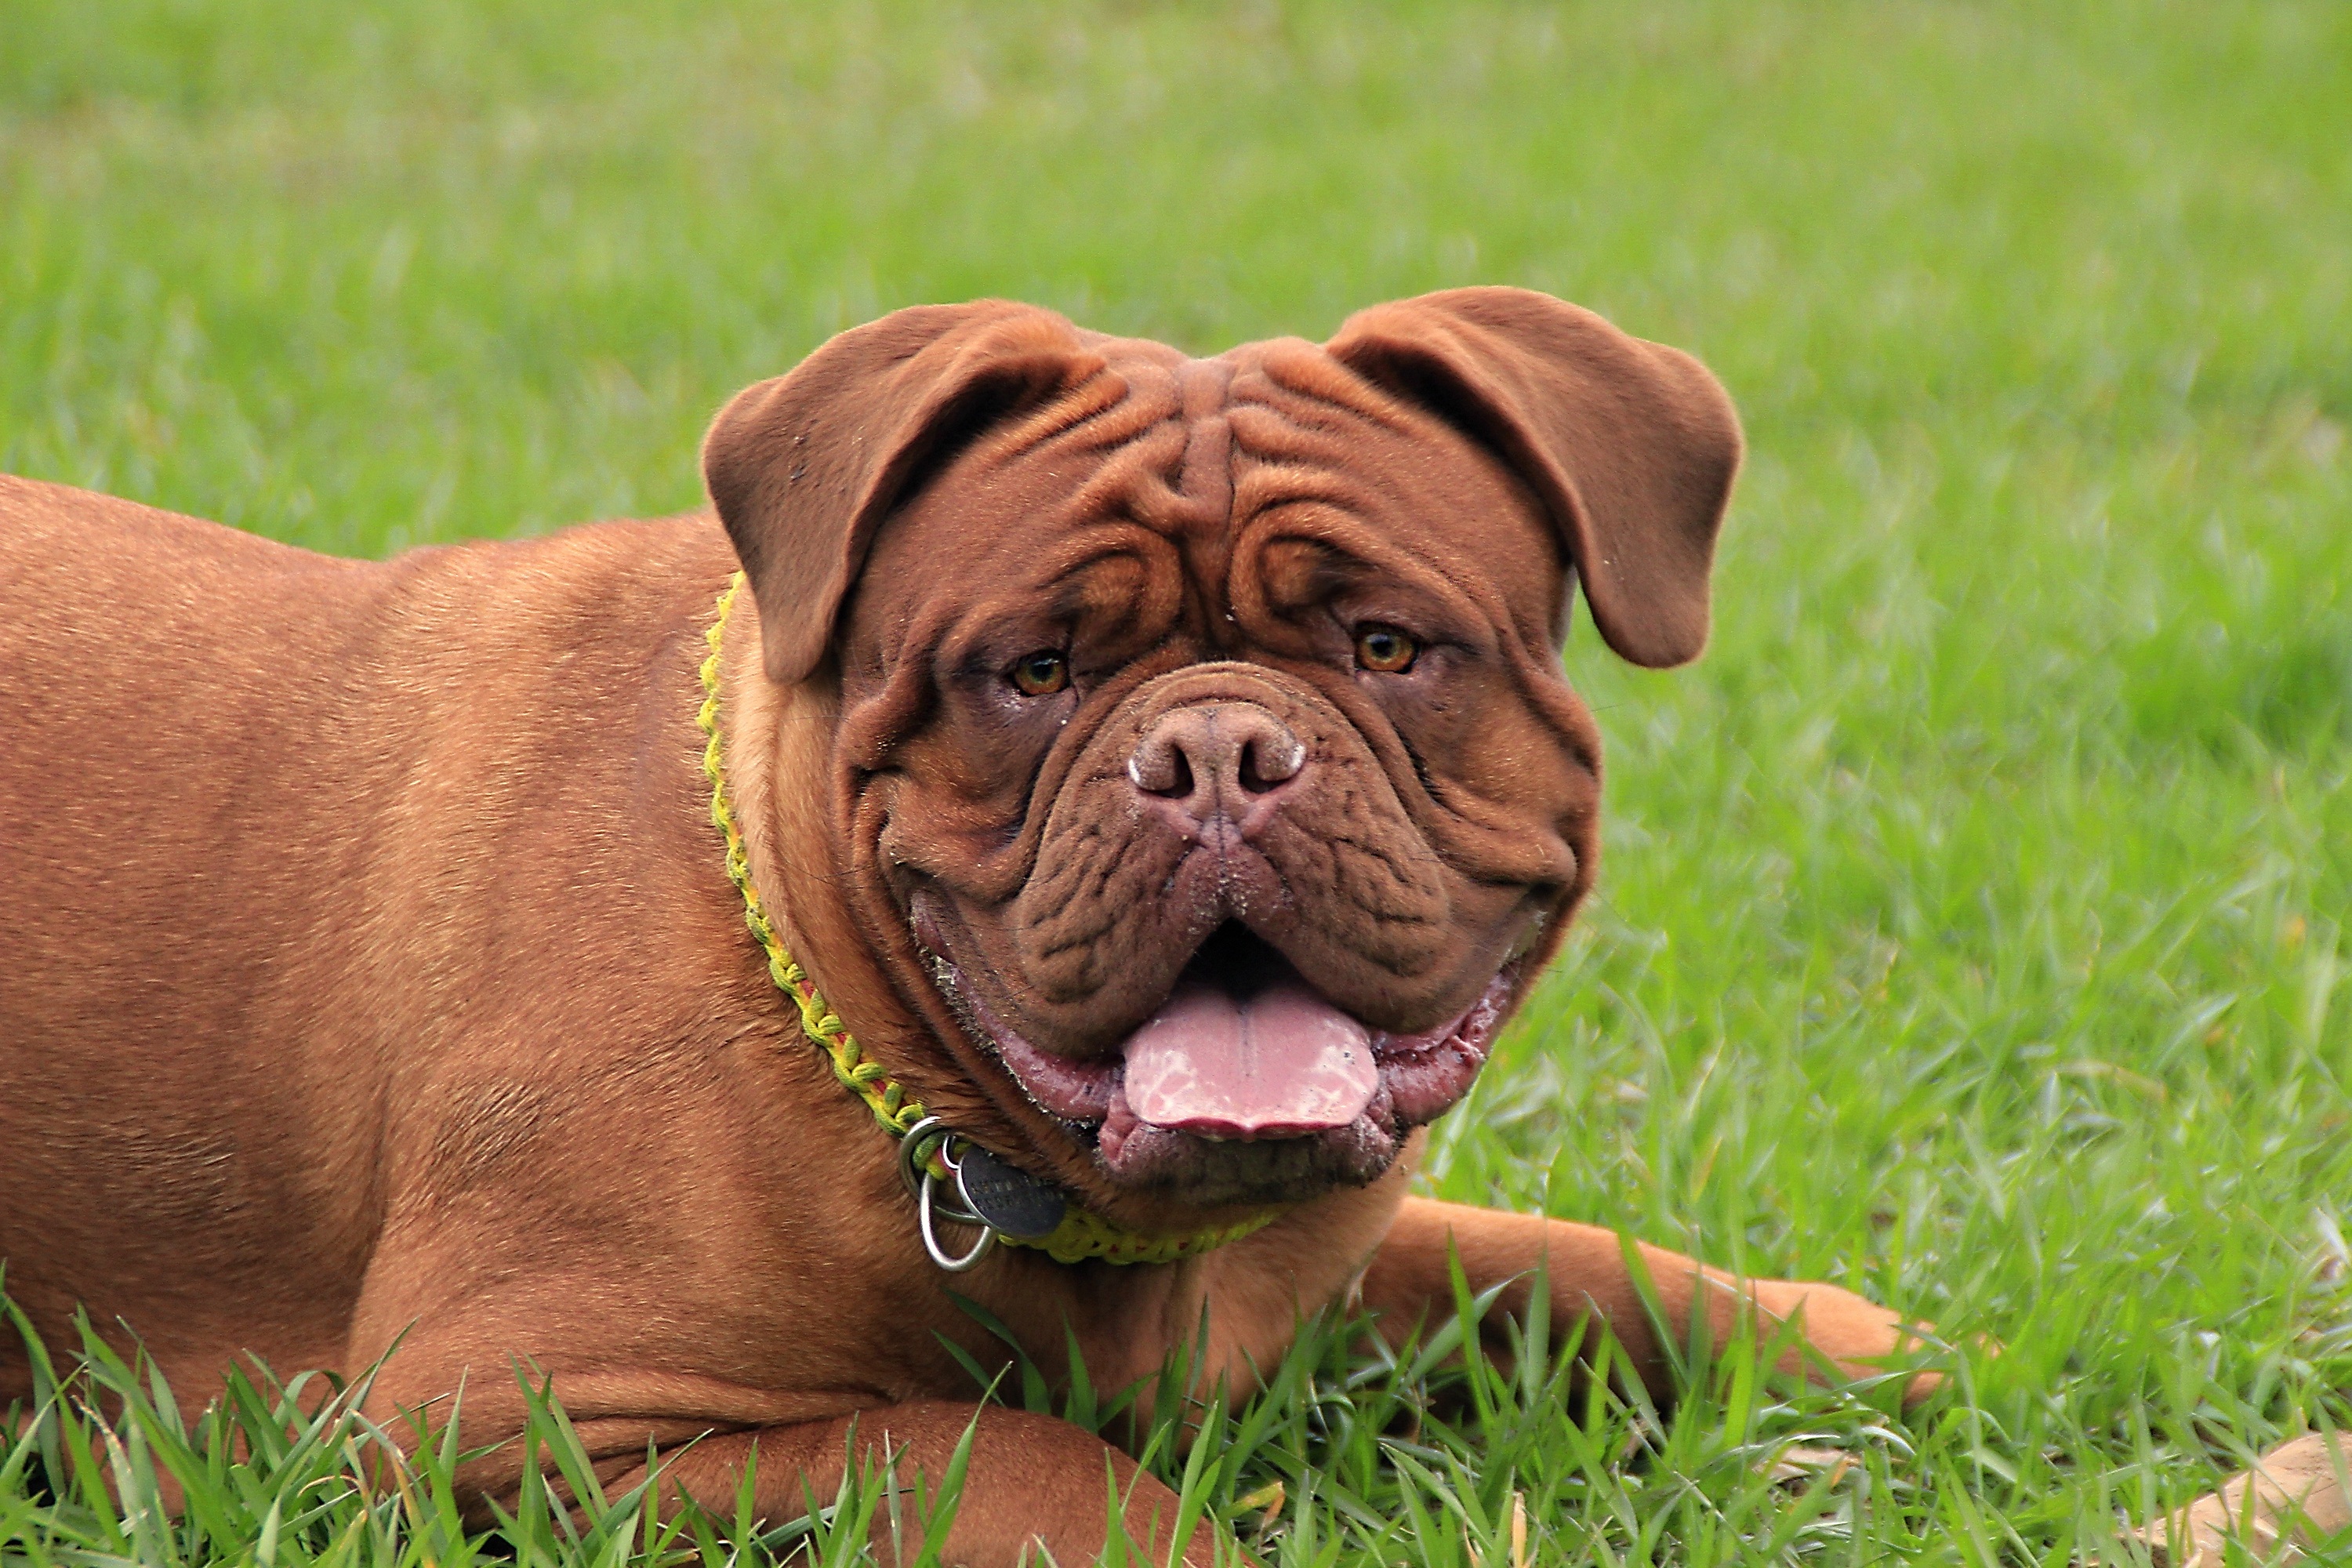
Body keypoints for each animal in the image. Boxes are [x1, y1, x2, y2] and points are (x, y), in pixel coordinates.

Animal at [0, 291, 1938, 1561]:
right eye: (1037, 672)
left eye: (1389, 646)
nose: (1215, 751)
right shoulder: (527, 1415)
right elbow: (1003, 1455)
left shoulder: (1336, 1269)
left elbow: (1566, 1264)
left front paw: (1862, 1352)